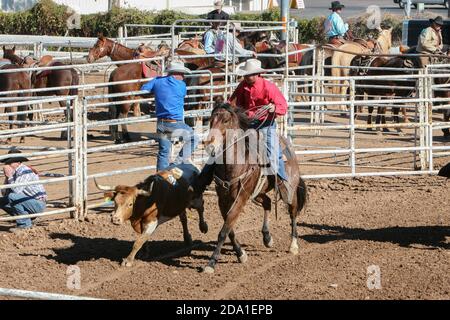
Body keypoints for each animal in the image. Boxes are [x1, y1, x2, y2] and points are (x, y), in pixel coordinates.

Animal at [202, 104, 308, 274]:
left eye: (225, 120)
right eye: (211, 120)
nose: (209, 143)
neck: (232, 165)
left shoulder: (240, 198)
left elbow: (224, 230)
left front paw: (211, 263)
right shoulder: (222, 199)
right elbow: (229, 228)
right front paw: (241, 254)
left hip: (288, 190)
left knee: (292, 213)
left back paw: (293, 246)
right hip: (257, 193)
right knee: (268, 202)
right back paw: (267, 238)